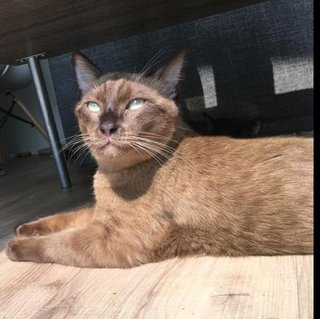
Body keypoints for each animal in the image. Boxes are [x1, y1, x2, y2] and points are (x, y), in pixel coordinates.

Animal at [6, 50, 314, 268]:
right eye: (93, 106)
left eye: (135, 104)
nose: (107, 127)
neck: (109, 174)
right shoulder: (100, 214)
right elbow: (66, 216)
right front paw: (24, 228)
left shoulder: (114, 238)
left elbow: (58, 243)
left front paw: (13, 246)